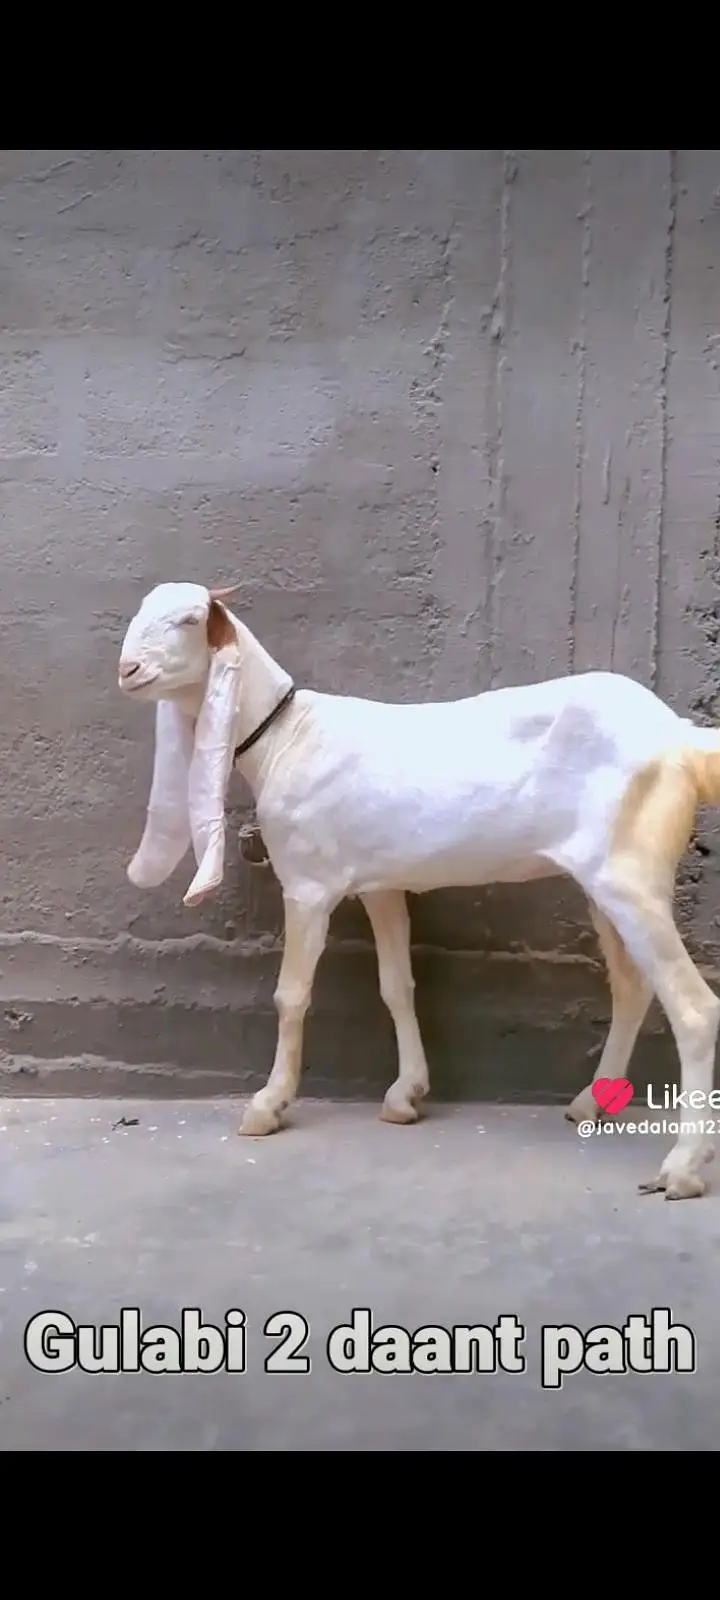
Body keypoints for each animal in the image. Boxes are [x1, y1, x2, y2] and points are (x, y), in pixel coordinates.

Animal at [118, 580, 720, 1202]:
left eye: (190, 620)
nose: (128, 670)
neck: (289, 735)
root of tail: (680, 739)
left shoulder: (309, 885)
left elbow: (292, 995)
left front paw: (268, 1105)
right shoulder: (382, 886)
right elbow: (397, 986)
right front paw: (406, 1093)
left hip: (630, 876)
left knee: (695, 1008)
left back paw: (682, 1166)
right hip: (605, 882)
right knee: (633, 988)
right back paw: (590, 1105)